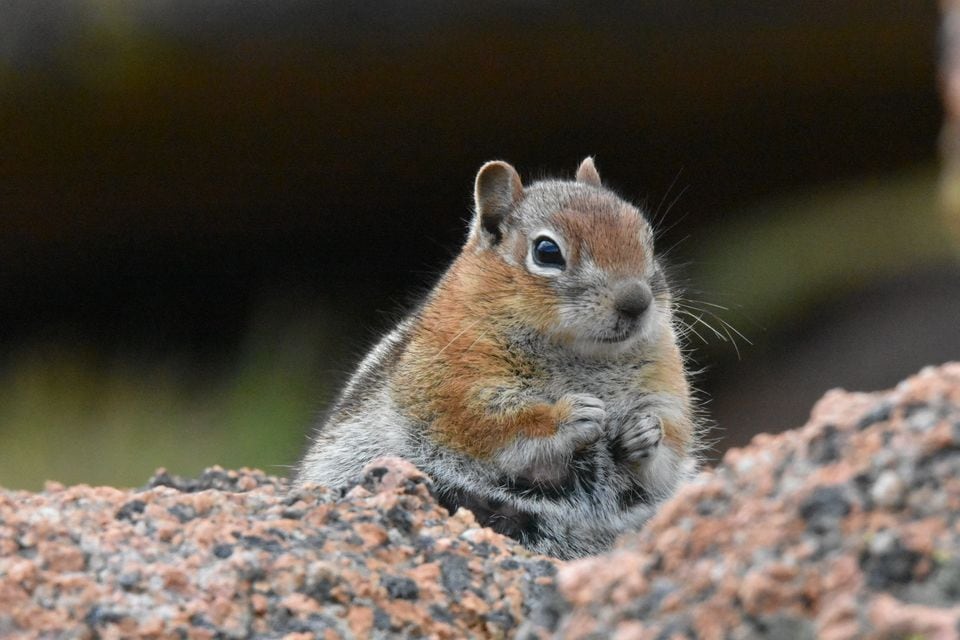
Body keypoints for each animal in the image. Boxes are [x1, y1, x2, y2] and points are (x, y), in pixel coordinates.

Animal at [296, 158, 699, 559]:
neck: (583, 355)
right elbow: (495, 425)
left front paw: (644, 432)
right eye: (547, 252)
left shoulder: (665, 389)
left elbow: (666, 454)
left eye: (647, 239)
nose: (637, 302)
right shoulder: (450, 388)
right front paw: (571, 415)